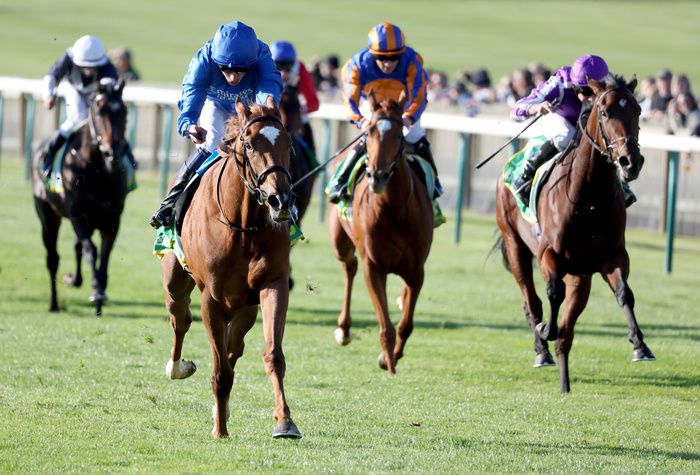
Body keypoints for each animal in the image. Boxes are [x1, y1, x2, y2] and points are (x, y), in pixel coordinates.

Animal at [31, 78, 131, 316]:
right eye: (99, 109)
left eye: (124, 111)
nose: (112, 154)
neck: (97, 170)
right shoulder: (77, 215)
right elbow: (90, 250)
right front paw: (95, 292)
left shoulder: (112, 219)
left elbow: (104, 255)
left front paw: (99, 292)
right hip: (48, 216)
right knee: (53, 258)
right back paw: (54, 304)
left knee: (75, 248)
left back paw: (74, 280)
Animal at [163, 96, 302, 438]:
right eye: (249, 144)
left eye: (289, 143)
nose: (280, 199)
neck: (243, 224)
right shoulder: (211, 299)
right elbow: (220, 370)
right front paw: (220, 430)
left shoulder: (272, 285)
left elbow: (272, 355)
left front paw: (285, 421)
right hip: (175, 280)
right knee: (180, 318)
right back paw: (177, 367)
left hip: (245, 307)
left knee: (233, 346)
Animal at [328, 90, 432, 376]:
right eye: (369, 133)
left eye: (398, 135)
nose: (378, 176)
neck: (394, 211)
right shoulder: (374, 267)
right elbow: (385, 325)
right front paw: (390, 363)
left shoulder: (416, 270)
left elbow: (405, 324)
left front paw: (390, 358)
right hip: (339, 242)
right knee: (349, 266)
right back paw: (344, 329)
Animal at [494, 75, 652, 394]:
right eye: (605, 113)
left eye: (638, 110)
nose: (631, 162)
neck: (589, 198)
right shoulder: (549, 255)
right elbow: (553, 293)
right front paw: (546, 330)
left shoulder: (612, 257)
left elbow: (624, 294)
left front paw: (640, 345)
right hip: (515, 245)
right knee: (532, 302)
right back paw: (542, 351)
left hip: (581, 276)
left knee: (567, 326)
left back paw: (564, 381)